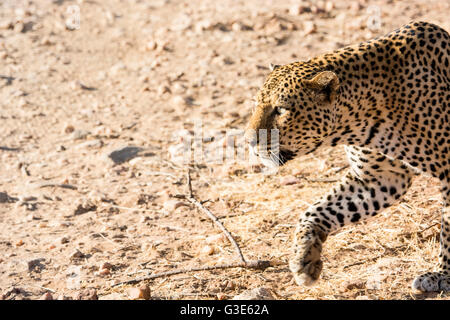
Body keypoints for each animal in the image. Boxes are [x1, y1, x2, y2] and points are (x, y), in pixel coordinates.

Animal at [244, 21, 450, 292]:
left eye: (281, 109)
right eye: (257, 104)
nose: (248, 141)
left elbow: (449, 231)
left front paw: (443, 275)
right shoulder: (380, 178)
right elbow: (316, 210)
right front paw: (304, 259)